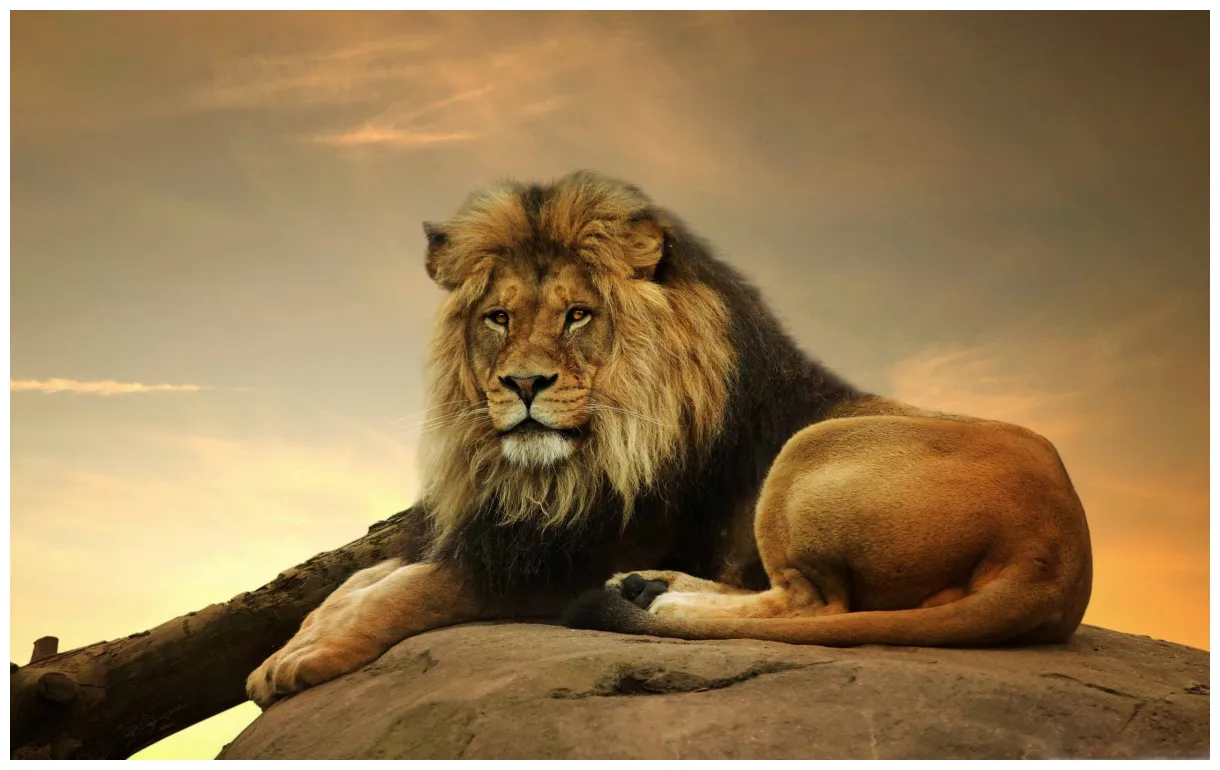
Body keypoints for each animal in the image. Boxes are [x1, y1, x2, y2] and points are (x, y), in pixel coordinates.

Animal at [246, 170, 1093, 708]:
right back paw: (651, 589)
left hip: (809, 454)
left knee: (813, 602)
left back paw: (657, 599)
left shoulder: (555, 560)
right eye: (498, 318)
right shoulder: (500, 530)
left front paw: (306, 659)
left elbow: (411, 589)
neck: (552, 471)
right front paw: (291, 645)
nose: (524, 385)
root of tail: (1059, 555)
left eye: (577, 316)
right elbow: (363, 580)